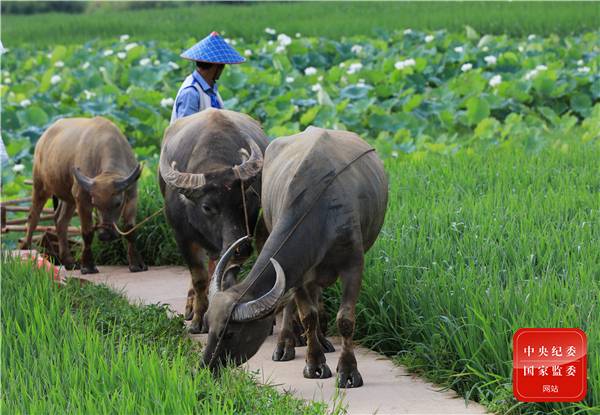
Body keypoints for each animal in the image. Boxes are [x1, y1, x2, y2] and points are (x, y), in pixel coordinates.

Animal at [22, 117, 147, 274]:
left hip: (69, 197)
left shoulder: (132, 195)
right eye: (95, 204)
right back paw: (28, 254)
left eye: (118, 203)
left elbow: (130, 229)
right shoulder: (82, 199)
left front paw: (136, 264)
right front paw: (88, 266)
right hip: (40, 186)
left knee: (61, 221)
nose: (105, 234)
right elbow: (87, 232)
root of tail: (42, 139)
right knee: (33, 218)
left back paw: (69, 262)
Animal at [159, 108, 268, 334]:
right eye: (207, 207)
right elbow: (199, 278)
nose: (241, 249)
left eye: (243, 202)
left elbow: (225, 277)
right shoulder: (181, 237)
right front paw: (198, 320)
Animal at [202, 127, 390, 390]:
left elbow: (345, 320)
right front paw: (315, 364)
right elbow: (307, 315)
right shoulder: (298, 271)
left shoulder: (353, 265)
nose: (205, 367)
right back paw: (285, 345)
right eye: (208, 325)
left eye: (229, 333)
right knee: (292, 302)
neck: (321, 213)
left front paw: (348, 371)